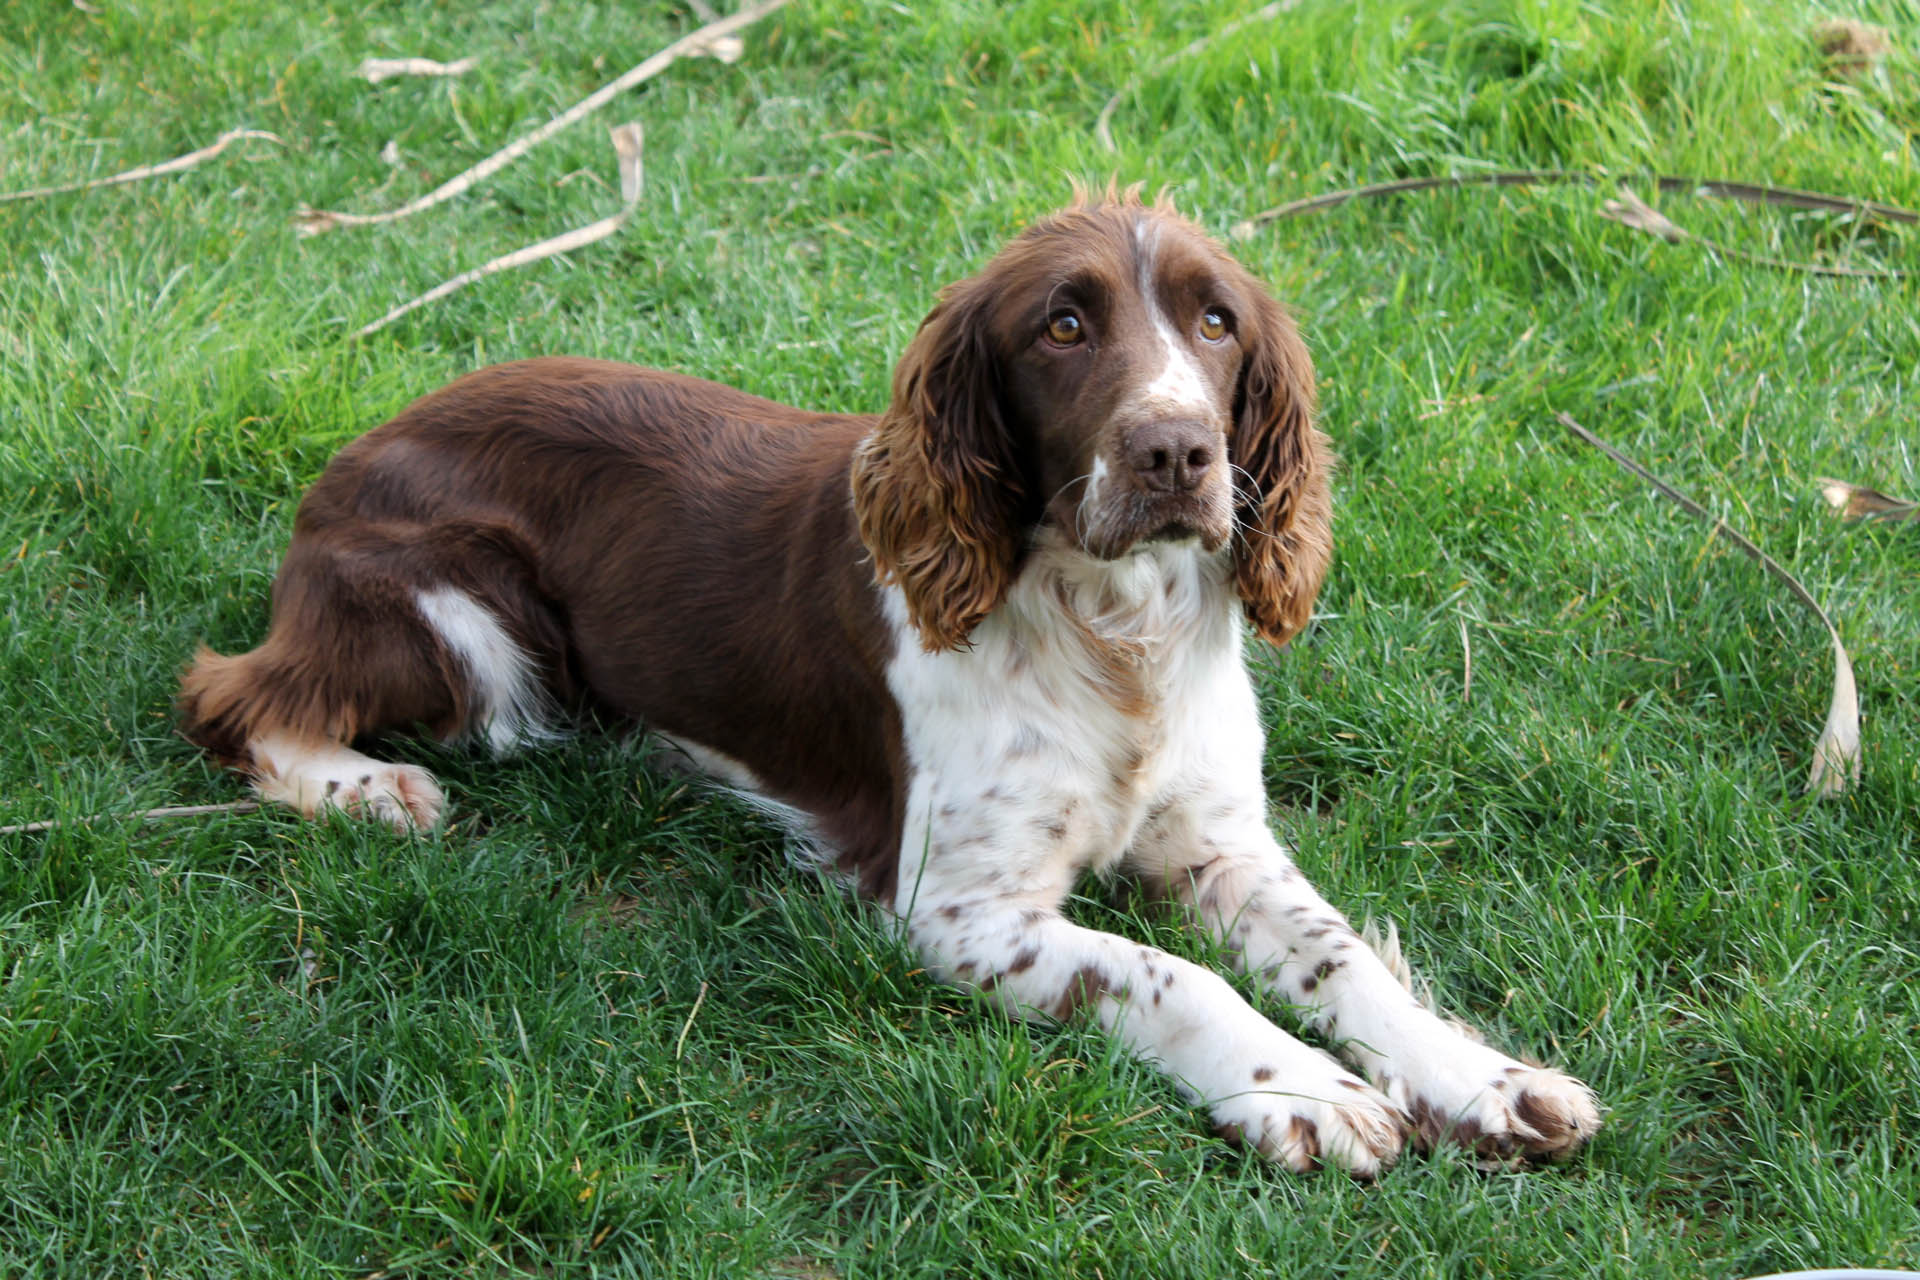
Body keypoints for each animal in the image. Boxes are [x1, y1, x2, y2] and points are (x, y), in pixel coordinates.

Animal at [180, 189, 1597, 1174]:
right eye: (1063, 324)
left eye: (1216, 322)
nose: (1177, 450)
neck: (1110, 632)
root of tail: (343, 457)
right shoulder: (956, 908)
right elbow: (1163, 973)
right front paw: (1303, 1090)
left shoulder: (1218, 841)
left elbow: (1342, 956)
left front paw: (1478, 1076)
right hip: (467, 626)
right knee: (233, 695)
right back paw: (370, 789)